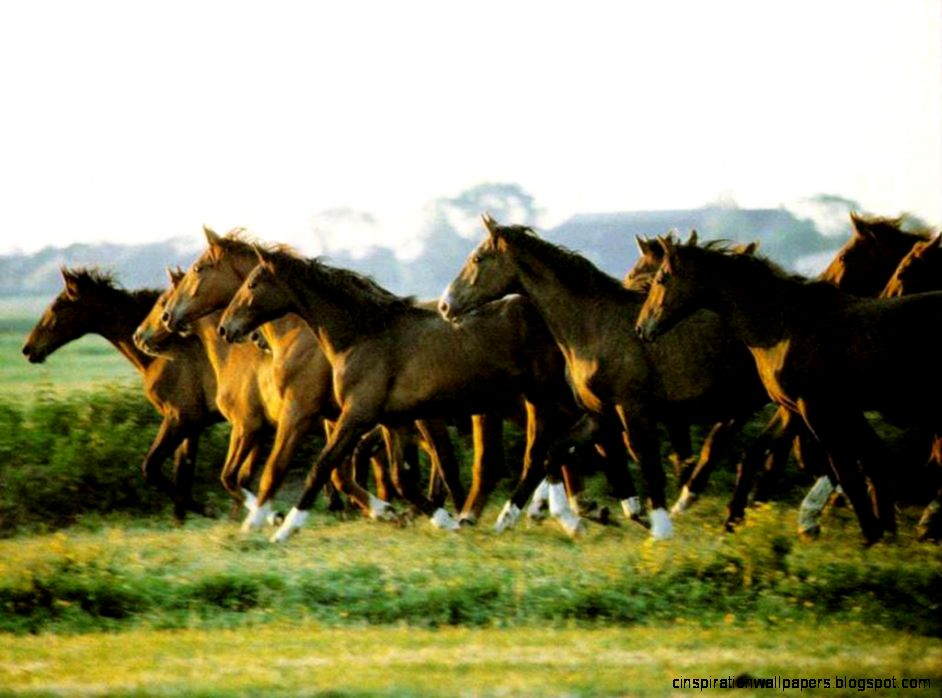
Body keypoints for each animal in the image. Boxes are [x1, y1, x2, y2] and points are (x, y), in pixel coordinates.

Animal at [22, 267, 220, 521]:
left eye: (57, 307)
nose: (28, 349)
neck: (163, 353)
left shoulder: (181, 418)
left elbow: (151, 468)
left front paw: (208, 510)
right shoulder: (191, 427)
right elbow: (182, 476)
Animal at [218, 244, 613, 542]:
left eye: (253, 283)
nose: (226, 328)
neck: (363, 335)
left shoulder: (355, 415)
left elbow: (321, 466)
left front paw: (283, 528)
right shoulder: (394, 422)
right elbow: (401, 477)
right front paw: (442, 520)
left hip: (549, 395)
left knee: (572, 440)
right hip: (534, 399)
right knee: (549, 449)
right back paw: (557, 517)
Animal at [439, 214, 768, 540]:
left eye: (477, 258)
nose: (445, 305)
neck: (594, 326)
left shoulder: (633, 409)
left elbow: (648, 462)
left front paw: (659, 527)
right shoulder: (600, 413)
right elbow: (558, 452)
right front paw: (508, 518)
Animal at [636, 237, 942, 544]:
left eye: (661, 279)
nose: (640, 329)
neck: (783, 326)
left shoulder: (817, 409)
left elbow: (847, 470)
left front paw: (871, 536)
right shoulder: (801, 409)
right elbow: (867, 461)